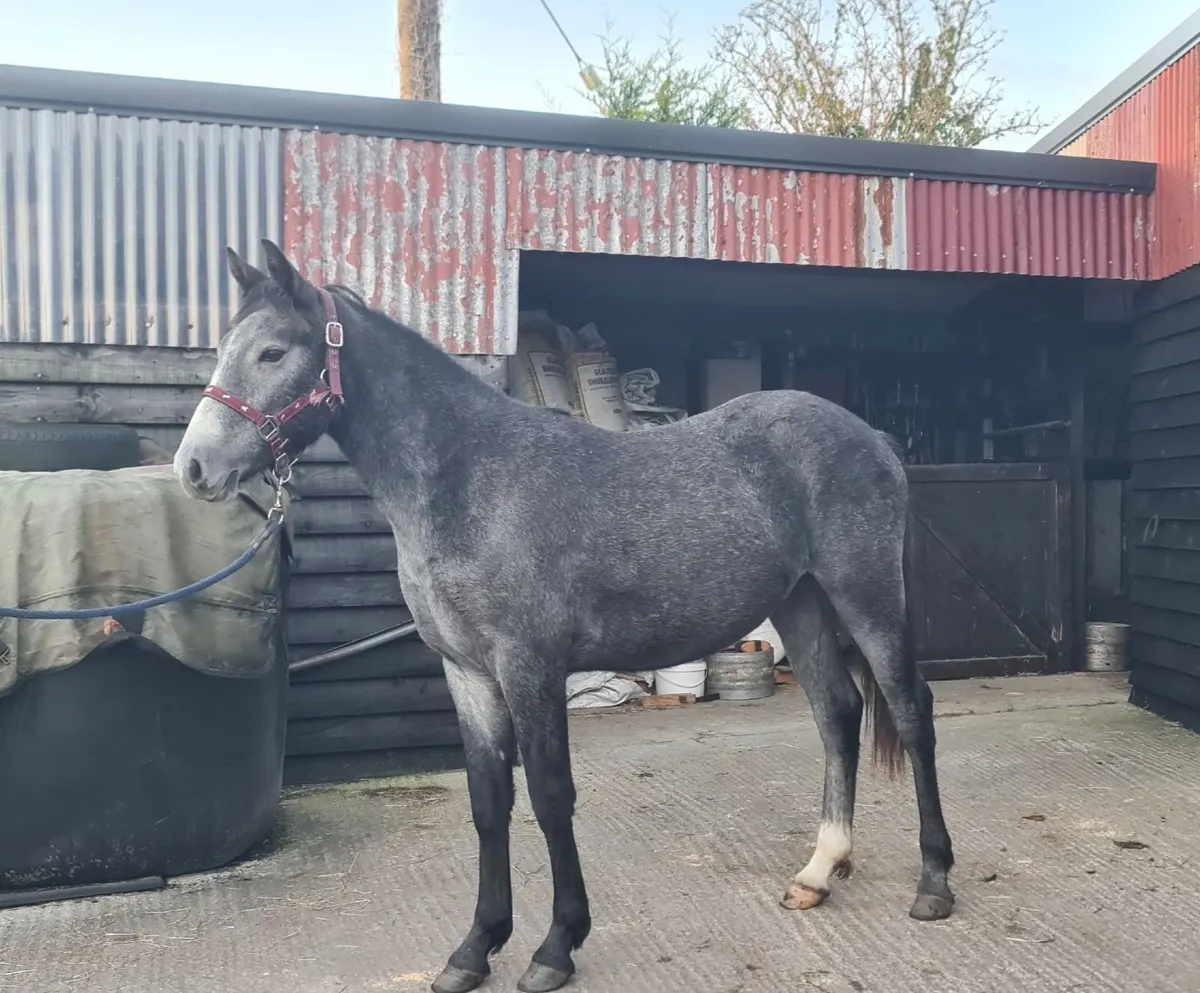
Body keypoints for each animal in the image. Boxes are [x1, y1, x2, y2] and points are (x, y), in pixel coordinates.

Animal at [174, 240, 955, 993]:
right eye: (224, 346)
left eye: (273, 351)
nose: (194, 468)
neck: (469, 480)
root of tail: (873, 438)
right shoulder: (467, 673)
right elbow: (489, 800)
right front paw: (475, 948)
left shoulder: (530, 667)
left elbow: (551, 797)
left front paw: (556, 946)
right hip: (802, 602)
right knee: (837, 712)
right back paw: (820, 871)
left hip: (866, 595)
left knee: (910, 710)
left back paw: (934, 882)